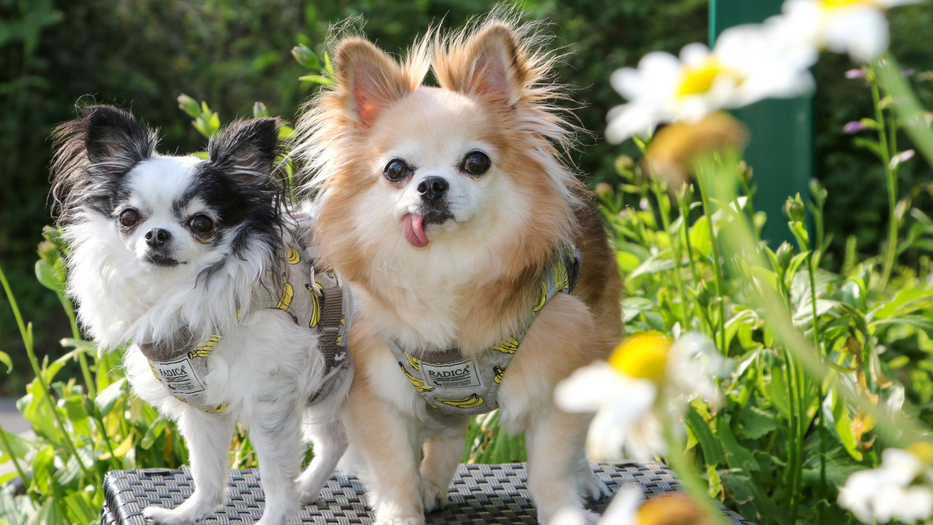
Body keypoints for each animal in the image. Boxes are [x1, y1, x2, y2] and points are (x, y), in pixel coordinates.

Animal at [294, 15, 624, 524]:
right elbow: (394, 469)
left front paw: (563, 510)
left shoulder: (556, 382)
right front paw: (402, 511)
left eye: (475, 162)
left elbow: (551, 466)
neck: (445, 267)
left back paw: (586, 481)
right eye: (396, 170)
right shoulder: (378, 394)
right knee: (448, 437)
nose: (431, 184)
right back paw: (429, 485)